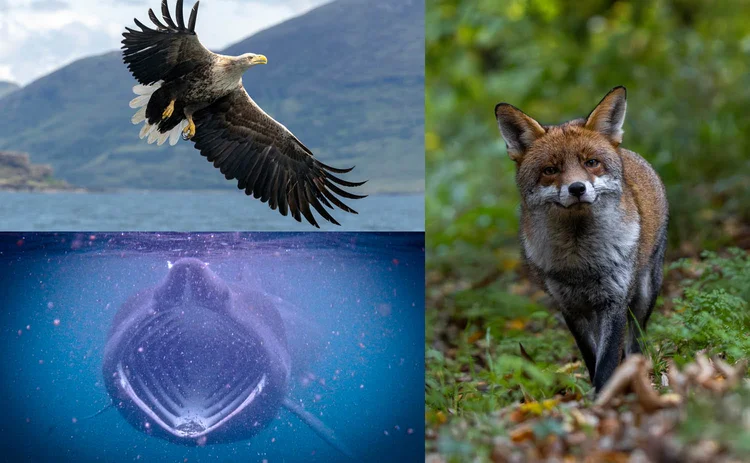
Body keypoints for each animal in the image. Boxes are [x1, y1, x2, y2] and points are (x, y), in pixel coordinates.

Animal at [494, 87, 668, 391]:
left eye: (591, 163)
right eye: (550, 170)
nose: (577, 188)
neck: (581, 262)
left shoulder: (614, 301)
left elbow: (607, 362)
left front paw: (605, 397)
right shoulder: (570, 307)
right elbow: (591, 357)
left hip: (645, 292)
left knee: (636, 341)